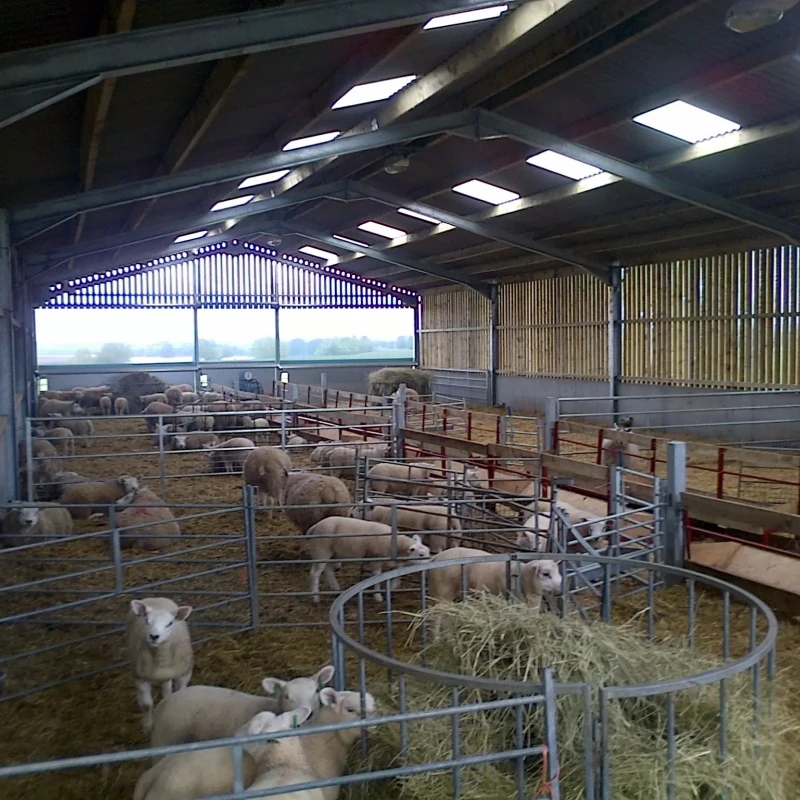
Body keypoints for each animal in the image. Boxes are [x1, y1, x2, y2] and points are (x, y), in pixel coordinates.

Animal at [126, 598, 194, 734]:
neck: (161, 658)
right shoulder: (141, 677)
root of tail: (155, 598)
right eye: (147, 621)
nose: (154, 636)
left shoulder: (185, 673)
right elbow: (147, 705)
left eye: (170, 623)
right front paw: (147, 726)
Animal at [428, 547, 562, 637]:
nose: (560, 592)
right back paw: (437, 640)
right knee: (437, 618)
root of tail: (436, 557)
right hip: (442, 594)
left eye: (558, 572)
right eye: (545, 574)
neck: (523, 578)